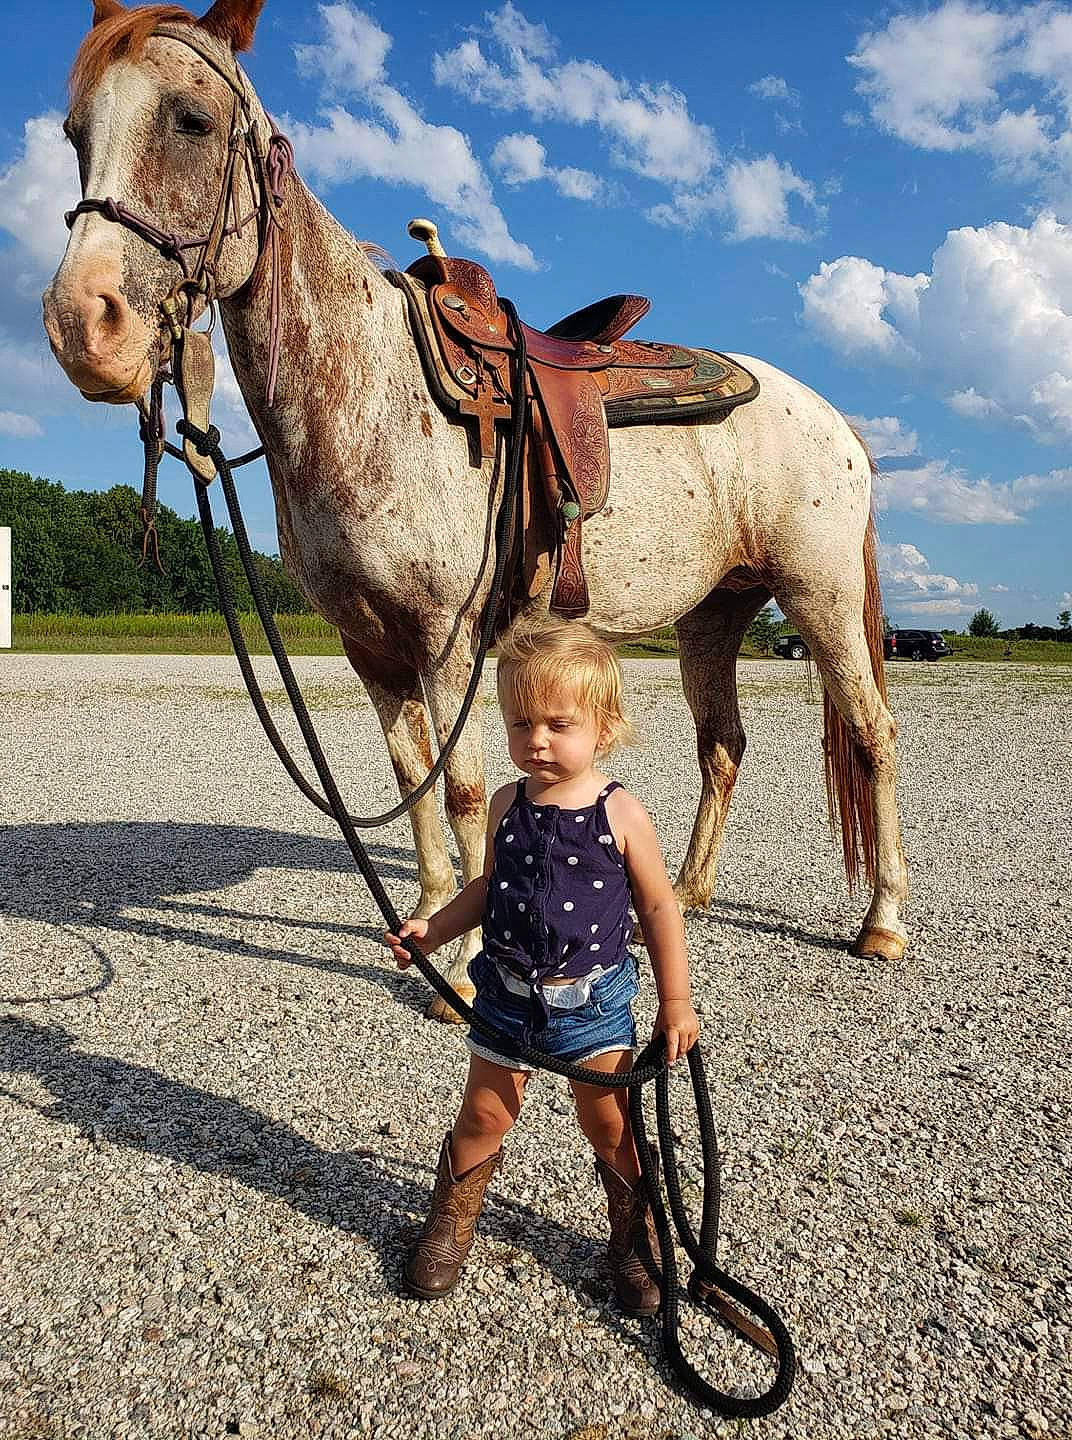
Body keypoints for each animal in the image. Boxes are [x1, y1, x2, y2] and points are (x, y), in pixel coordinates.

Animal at [42, 0, 909, 1020]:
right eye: (74, 133)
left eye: (192, 120)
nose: (82, 326)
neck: (366, 389)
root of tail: (837, 424)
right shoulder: (371, 647)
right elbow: (411, 783)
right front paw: (418, 930)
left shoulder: (443, 641)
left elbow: (459, 793)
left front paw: (455, 969)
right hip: (713, 615)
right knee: (723, 745)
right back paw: (690, 892)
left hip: (819, 600)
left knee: (872, 735)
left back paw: (883, 923)